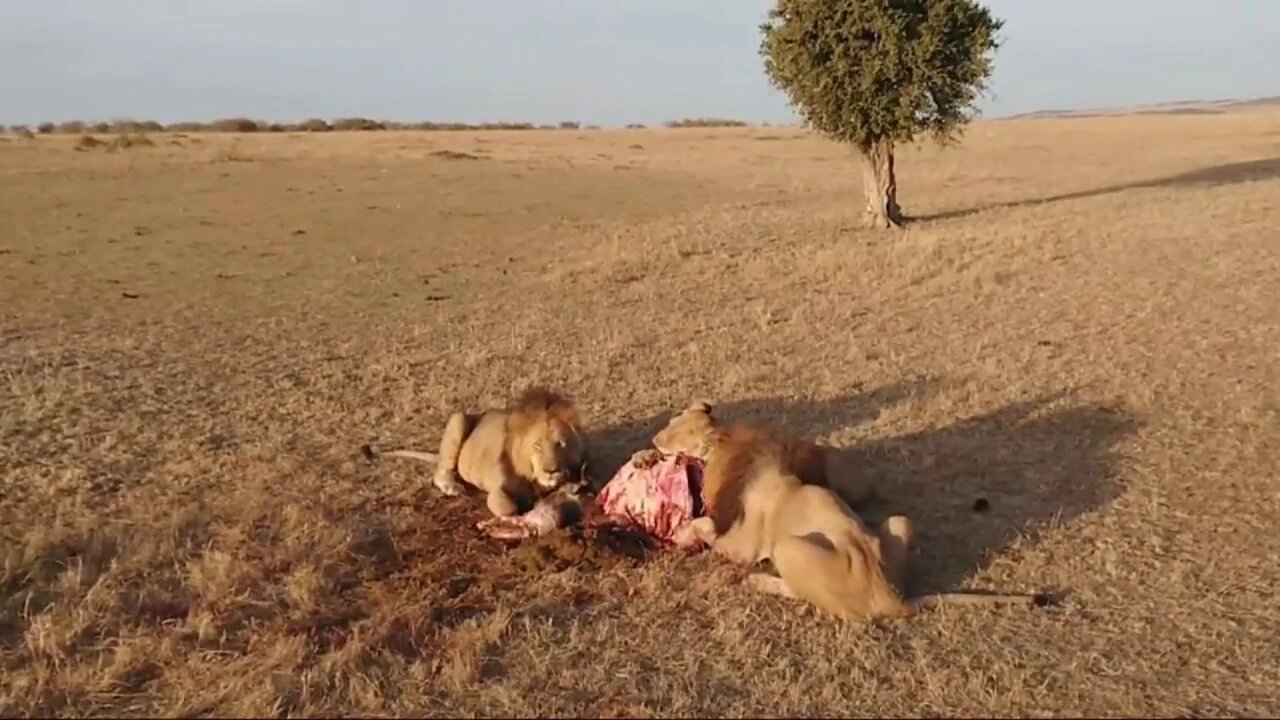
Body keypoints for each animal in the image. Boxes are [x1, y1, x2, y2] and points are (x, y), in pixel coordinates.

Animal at [373, 386, 586, 515]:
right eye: (537, 445)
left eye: (560, 444)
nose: (551, 470)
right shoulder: (498, 490)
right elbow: (506, 507)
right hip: (457, 419)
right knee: (441, 472)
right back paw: (453, 487)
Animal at [645, 399, 1044, 620]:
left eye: (673, 429)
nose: (652, 439)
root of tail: (893, 599)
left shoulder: (742, 545)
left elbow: (705, 526)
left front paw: (685, 534)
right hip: (899, 522)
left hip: (788, 547)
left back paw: (761, 582)